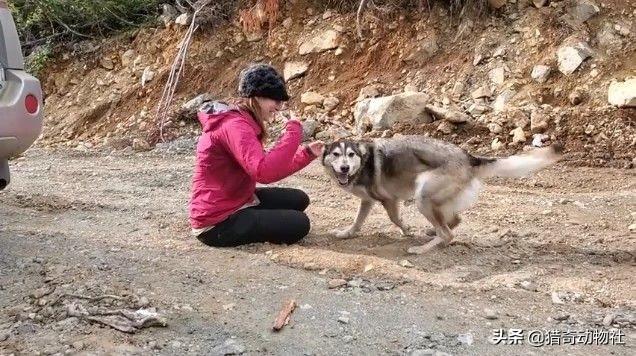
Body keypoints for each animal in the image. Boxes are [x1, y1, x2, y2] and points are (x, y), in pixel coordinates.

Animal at [320, 135, 564, 254]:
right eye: (336, 155)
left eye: (351, 155)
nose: (344, 168)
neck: (363, 161)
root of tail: (468, 157)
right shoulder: (367, 201)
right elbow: (357, 222)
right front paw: (347, 233)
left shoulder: (389, 200)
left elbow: (395, 219)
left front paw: (407, 230)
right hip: (436, 200)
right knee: (454, 221)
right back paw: (432, 233)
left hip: (422, 195)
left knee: (448, 233)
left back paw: (421, 249)